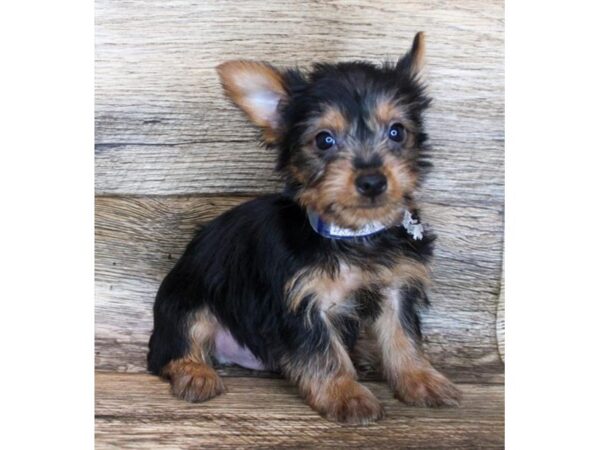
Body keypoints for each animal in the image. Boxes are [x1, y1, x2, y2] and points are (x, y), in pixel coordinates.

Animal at [148, 33, 462, 424]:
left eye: (397, 132)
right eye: (324, 140)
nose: (373, 181)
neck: (353, 233)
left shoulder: (396, 287)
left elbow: (403, 336)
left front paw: (420, 378)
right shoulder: (301, 302)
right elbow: (322, 351)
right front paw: (346, 394)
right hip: (186, 301)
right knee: (175, 345)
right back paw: (194, 372)